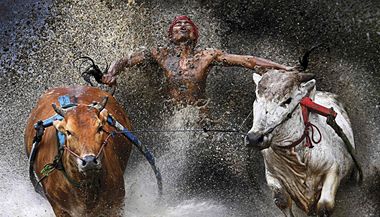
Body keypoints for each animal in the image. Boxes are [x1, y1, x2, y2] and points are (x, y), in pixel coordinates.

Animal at [246, 70, 356, 216]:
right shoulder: (272, 175)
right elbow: (281, 200)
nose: (254, 138)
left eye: (287, 100)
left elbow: (325, 205)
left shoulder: (333, 170)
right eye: (257, 98)